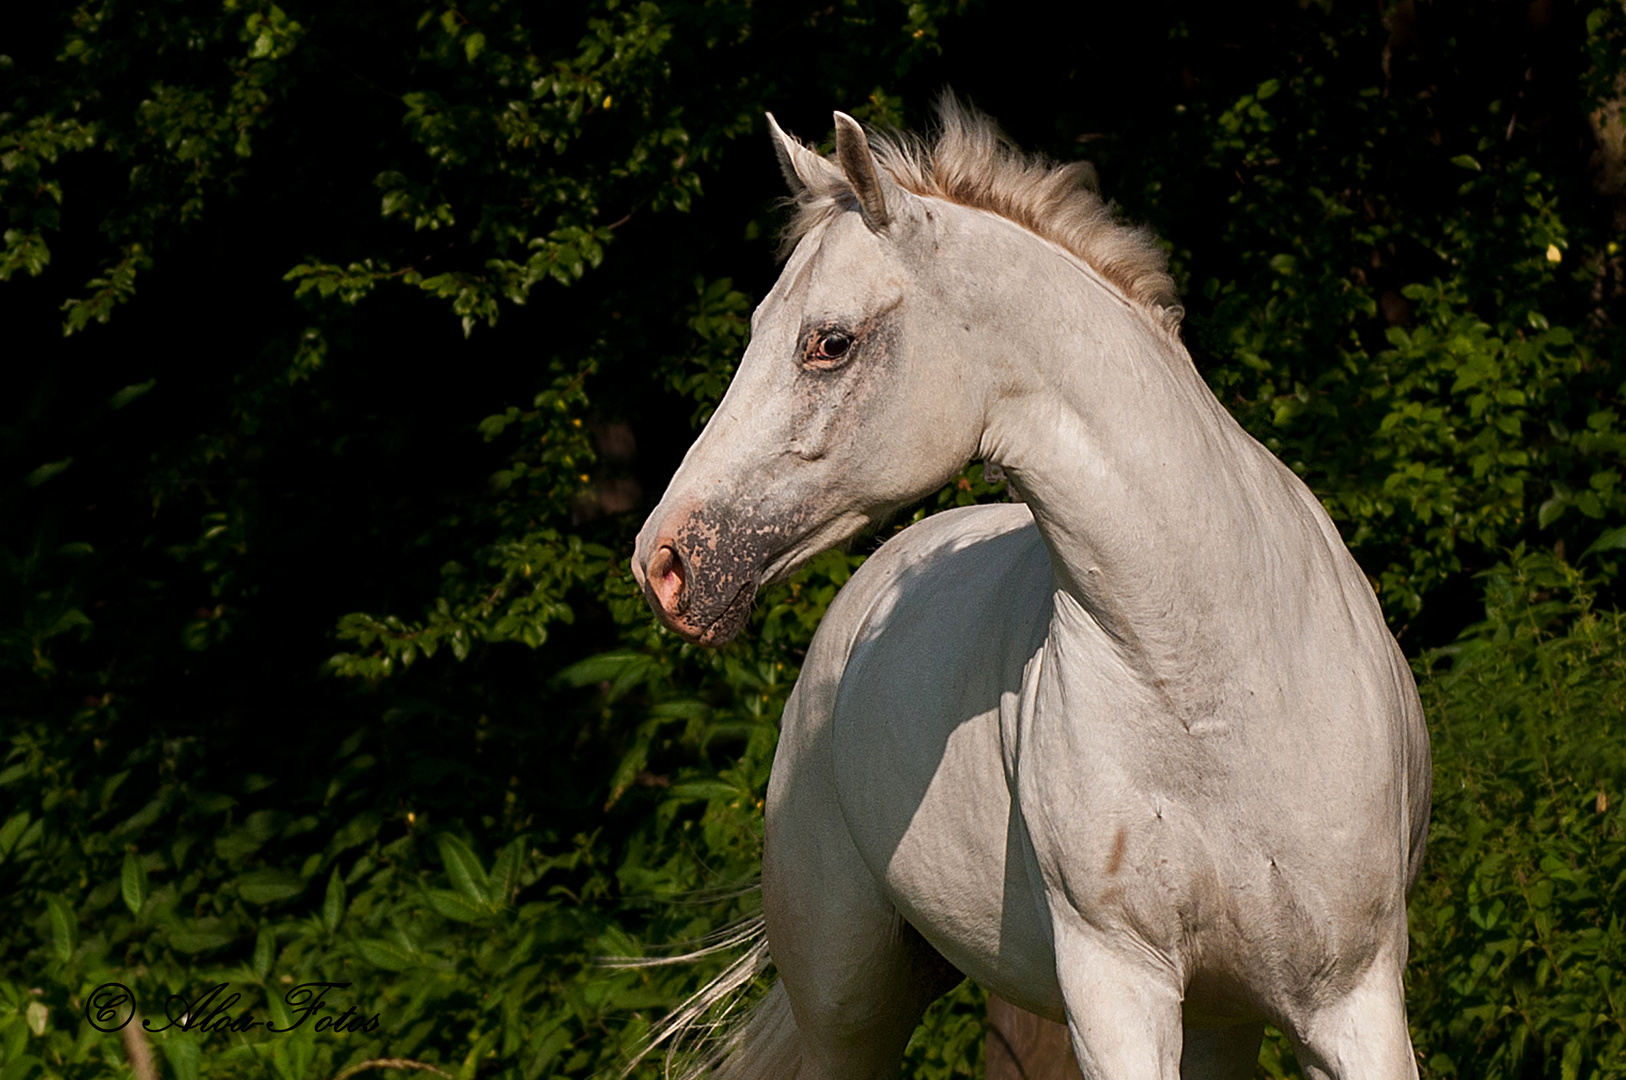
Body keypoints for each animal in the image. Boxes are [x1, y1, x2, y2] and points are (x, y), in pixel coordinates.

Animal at [627, 103, 1430, 1080]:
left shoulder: (1353, 1002)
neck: (1216, 685)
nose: (663, 563)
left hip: (1217, 1019)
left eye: (830, 343)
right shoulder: (1116, 991)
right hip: (849, 1009)